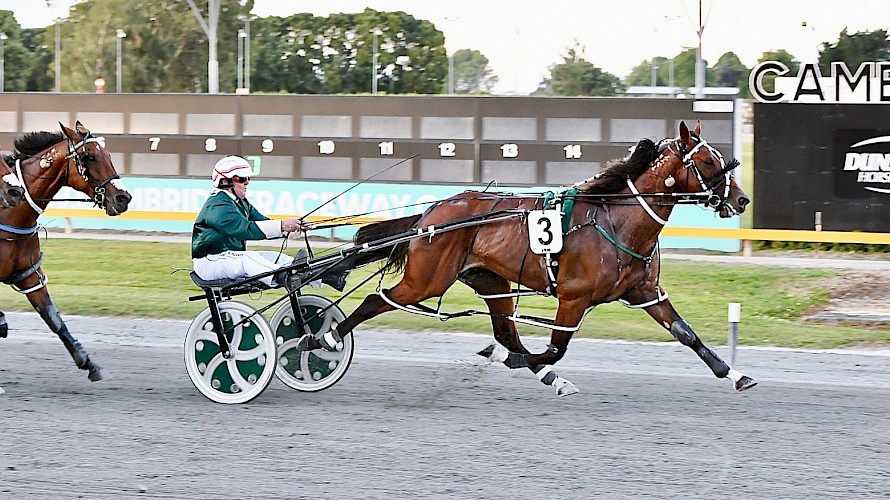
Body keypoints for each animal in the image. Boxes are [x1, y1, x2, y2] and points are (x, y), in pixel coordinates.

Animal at [0, 121, 132, 383]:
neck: (9, 216)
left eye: (108, 155)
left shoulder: (29, 275)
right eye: (89, 157)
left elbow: (53, 318)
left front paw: (88, 363)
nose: (123, 198)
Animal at [316, 120, 756, 396]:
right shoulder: (573, 297)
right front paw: (511, 360)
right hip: (427, 279)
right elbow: (556, 347)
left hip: (491, 282)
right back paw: (326, 337)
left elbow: (687, 334)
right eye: (708, 161)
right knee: (375, 300)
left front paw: (736, 374)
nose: (741, 200)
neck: (618, 221)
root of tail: (432, 213)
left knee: (506, 331)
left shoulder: (646, 292)